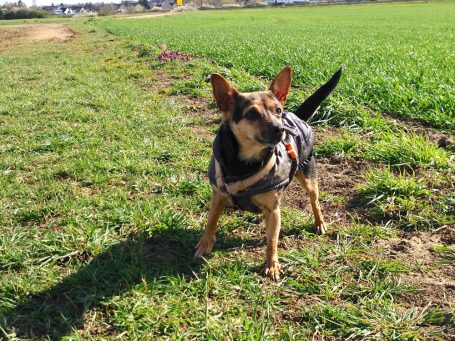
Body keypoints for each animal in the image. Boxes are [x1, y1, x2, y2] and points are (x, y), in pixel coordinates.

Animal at [196, 65, 342, 278]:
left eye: (278, 110)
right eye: (252, 114)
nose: (280, 128)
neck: (244, 164)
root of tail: (296, 116)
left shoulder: (274, 211)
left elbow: (272, 240)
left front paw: (272, 265)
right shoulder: (218, 196)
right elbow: (211, 222)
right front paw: (204, 245)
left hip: (308, 176)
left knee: (314, 201)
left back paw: (319, 223)